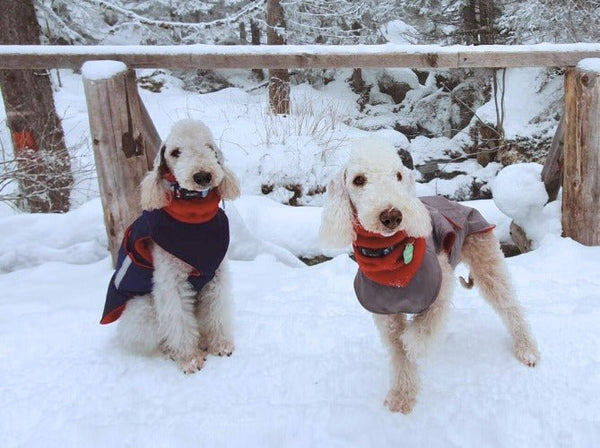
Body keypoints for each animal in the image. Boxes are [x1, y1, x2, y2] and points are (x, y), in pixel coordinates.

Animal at [100, 117, 239, 372]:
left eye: (209, 146)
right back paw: (170, 351)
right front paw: (190, 359)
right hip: (144, 310)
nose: (202, 176)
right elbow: (178, 320)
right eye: (175, 152)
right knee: (156, 337)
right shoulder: (170, 280)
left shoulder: (216, 275)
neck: (194, 217)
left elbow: (216, 311)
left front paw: (220, 345)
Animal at [318, 138, 540, 414]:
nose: (392, 216)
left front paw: (414, 344)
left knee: (510, 306)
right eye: (358, 180)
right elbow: (398, 350)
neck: (392, 260)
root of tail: (460, 204)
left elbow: (420, 332)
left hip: (485, 255)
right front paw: (402, 396)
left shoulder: (440, 289)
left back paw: (527, 350)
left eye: (398, 175)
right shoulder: (386, 312)